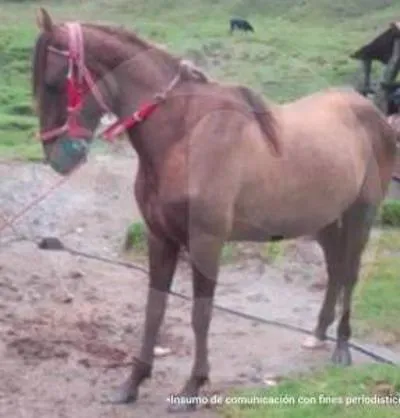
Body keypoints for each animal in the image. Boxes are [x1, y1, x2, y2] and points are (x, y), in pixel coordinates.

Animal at [32, 8, 396, 414]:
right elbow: (154, 309)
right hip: (324, 220)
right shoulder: (160, 238)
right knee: (335, 270)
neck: (185, 133)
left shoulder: (205, 242)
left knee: (350, 274)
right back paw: (317, 334)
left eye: (53, 82)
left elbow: (200, 314)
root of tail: (369, 111)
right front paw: (133, 383)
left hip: (360, 216)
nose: (58, 158)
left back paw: (342, 348)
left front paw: (193, 386)